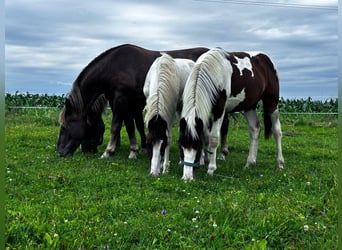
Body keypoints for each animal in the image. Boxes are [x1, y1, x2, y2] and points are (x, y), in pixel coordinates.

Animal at [56, 44, 208, 158]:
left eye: (65, 126)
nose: (60, 152)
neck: (113, 67)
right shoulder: (127, 103)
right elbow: (130, 125)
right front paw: (134, 149)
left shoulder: (121, 100)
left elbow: (116, 126)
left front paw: (109, 151)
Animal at [178, 47, 284, 180]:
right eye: (180, 146)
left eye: (196, 147)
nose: (187, 177)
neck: (213, 71)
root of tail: (266, 59)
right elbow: (204, 135)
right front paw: (203, 161)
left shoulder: (220, 108)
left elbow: (213, 138)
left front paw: (211, 168)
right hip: (249, 106)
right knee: (255, 129)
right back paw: (250, 163)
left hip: (272, 103)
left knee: (277, 131)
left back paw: (280, 163)